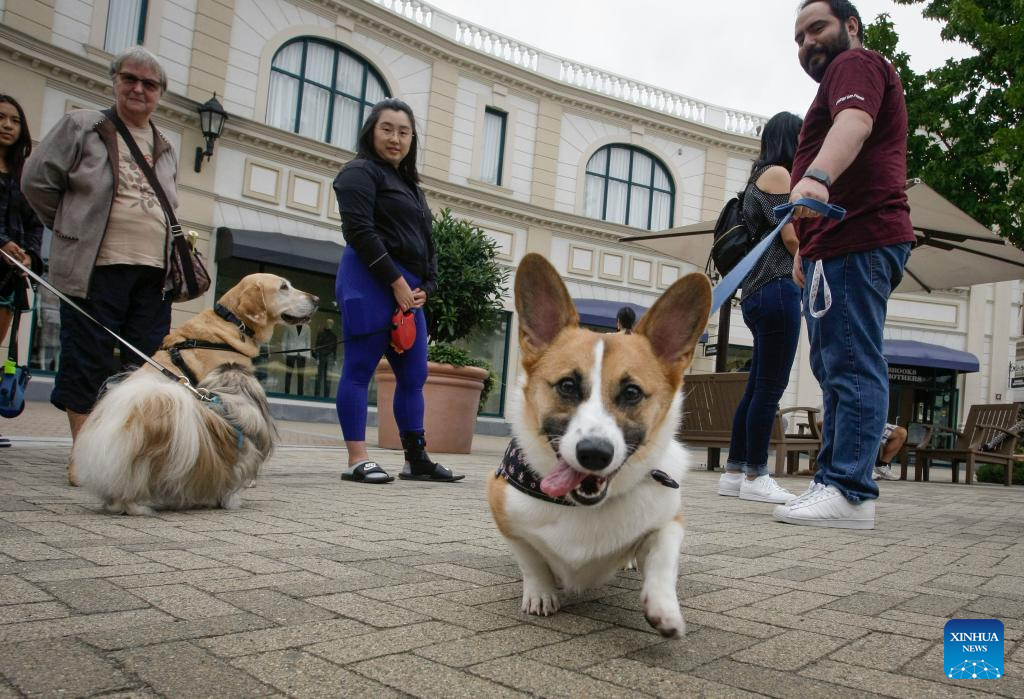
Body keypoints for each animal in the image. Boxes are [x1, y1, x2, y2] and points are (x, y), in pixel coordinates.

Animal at [487, 253, 712, 638]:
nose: (594, 454)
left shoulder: (669, 519)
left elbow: (663, 557)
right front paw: (541, 593)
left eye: (632, 392)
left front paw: (664, 609)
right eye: (567, 386)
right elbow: (531, 560)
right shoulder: (505, 514)